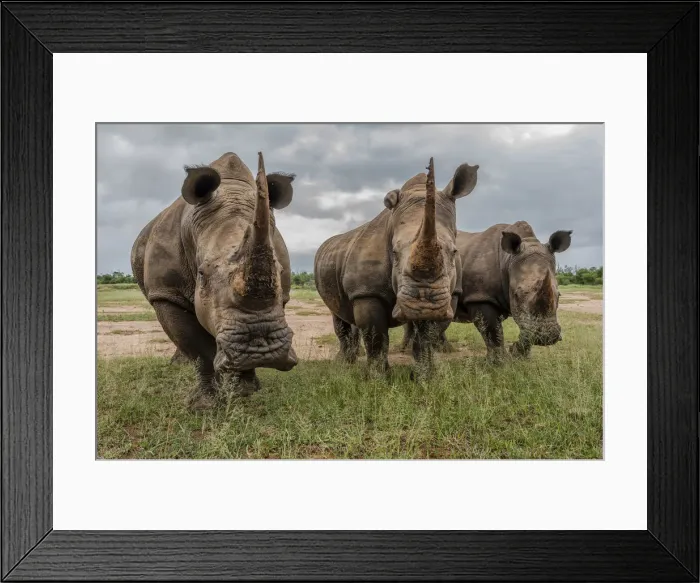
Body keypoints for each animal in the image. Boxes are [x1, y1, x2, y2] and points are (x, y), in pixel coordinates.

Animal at [130, 151, 298, 409]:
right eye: (202, 274)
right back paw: (180, 367)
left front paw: (245, 390)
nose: (261, 351)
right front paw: (205, 405)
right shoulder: (167, 292)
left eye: (279, 272)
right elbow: (198, 349)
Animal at [314, 157, 479, 379]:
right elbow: (375, 336)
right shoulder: (366, 292)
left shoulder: (449, 295)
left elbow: (426, 337)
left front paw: (424, 377)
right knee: (338, 315)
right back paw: (343, 363)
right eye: (394, 252)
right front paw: (378, 378)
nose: (423, 304)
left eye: (454, 251)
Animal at [400, 221, 573, 361]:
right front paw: (499, 364)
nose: (548, 337)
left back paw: (444, 350)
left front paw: (518, 354)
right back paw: (406, 350)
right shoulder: (481, 297)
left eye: (559, 295)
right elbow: (492, 331)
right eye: (517, 295)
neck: (508, 260)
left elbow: (526, 327)